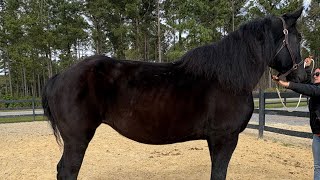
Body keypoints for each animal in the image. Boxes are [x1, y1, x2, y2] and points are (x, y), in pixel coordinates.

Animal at [42, 7, 304, 179]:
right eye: (298, 38)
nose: (302, 76)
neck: (228, 78)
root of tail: (59, 77)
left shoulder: (215, 140)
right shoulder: (225, 138)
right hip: (77, 139)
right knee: (67, 171)